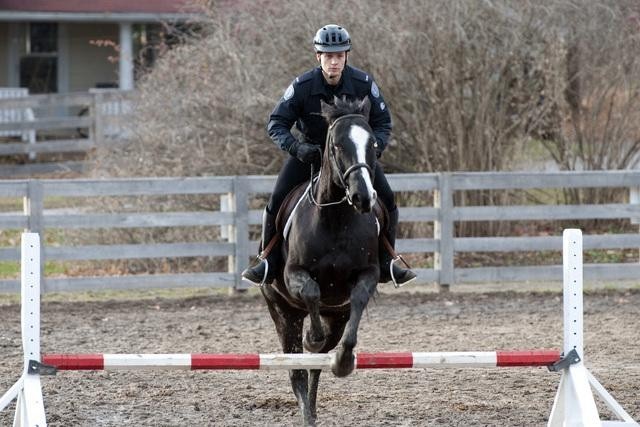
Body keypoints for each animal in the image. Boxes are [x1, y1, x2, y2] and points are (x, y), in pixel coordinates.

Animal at [262, 97, 384, 427]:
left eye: (371, 143)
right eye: (337, 145)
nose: (363, 196)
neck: (336, 219)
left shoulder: (368, 274)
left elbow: (358, 299)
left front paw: (344, 361)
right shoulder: (293, 274)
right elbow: (312, 291)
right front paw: (312, 338)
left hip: (336, 318)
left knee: (315, 366)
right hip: (283, 313)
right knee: (297, 369)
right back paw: (307, 410)